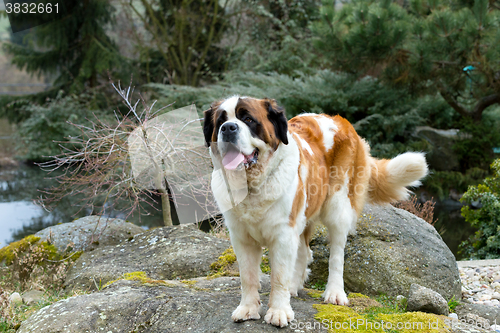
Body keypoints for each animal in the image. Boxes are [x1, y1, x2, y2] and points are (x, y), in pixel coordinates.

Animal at [201, 95, 428, 326]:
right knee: (304, 252)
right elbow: (248, 276)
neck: (253, 185)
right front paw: (248, 309)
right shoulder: (242, 237)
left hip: (338, 208)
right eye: (221, 121)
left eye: (248, 119)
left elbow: (278, 276)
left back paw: (334, 292)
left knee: (336, 254)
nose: (228, 128)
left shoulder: (283, 234)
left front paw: (279, 311)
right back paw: (294, 286)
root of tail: (339, 120)